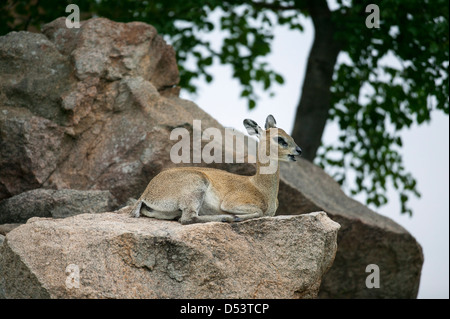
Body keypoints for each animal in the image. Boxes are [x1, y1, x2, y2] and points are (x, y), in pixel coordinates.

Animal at [130, 115, 302, 225]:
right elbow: (258, 212)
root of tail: (146, 194)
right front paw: (235, 216)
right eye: (279, 138)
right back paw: (228, 218)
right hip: (196, 187)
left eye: (290, 136)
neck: (261, 187)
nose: (298, 151)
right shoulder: (232, 202)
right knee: (187, 219)